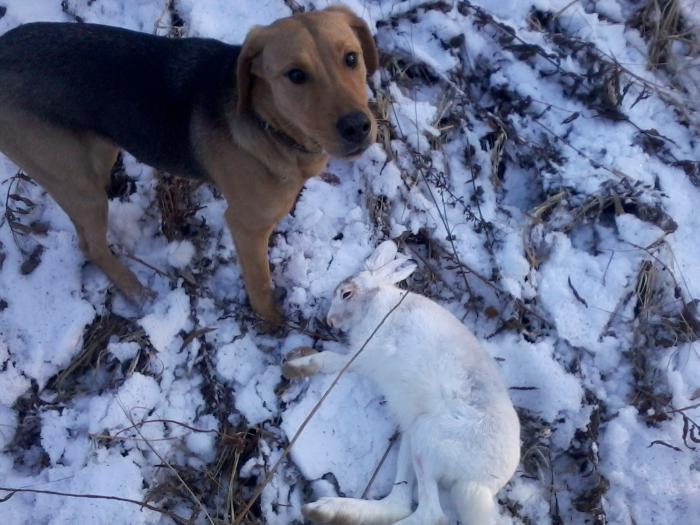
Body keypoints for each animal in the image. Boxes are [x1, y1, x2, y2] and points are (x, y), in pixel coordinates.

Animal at [0, 6, 378, 324]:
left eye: (351, 58)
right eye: (295, 75)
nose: (357, 126)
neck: (267, 122)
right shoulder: (246, 225)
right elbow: (260, 282)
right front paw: (272, 321)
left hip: (97, 152)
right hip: (75, 182)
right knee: (90, 245)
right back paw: (138, 292)